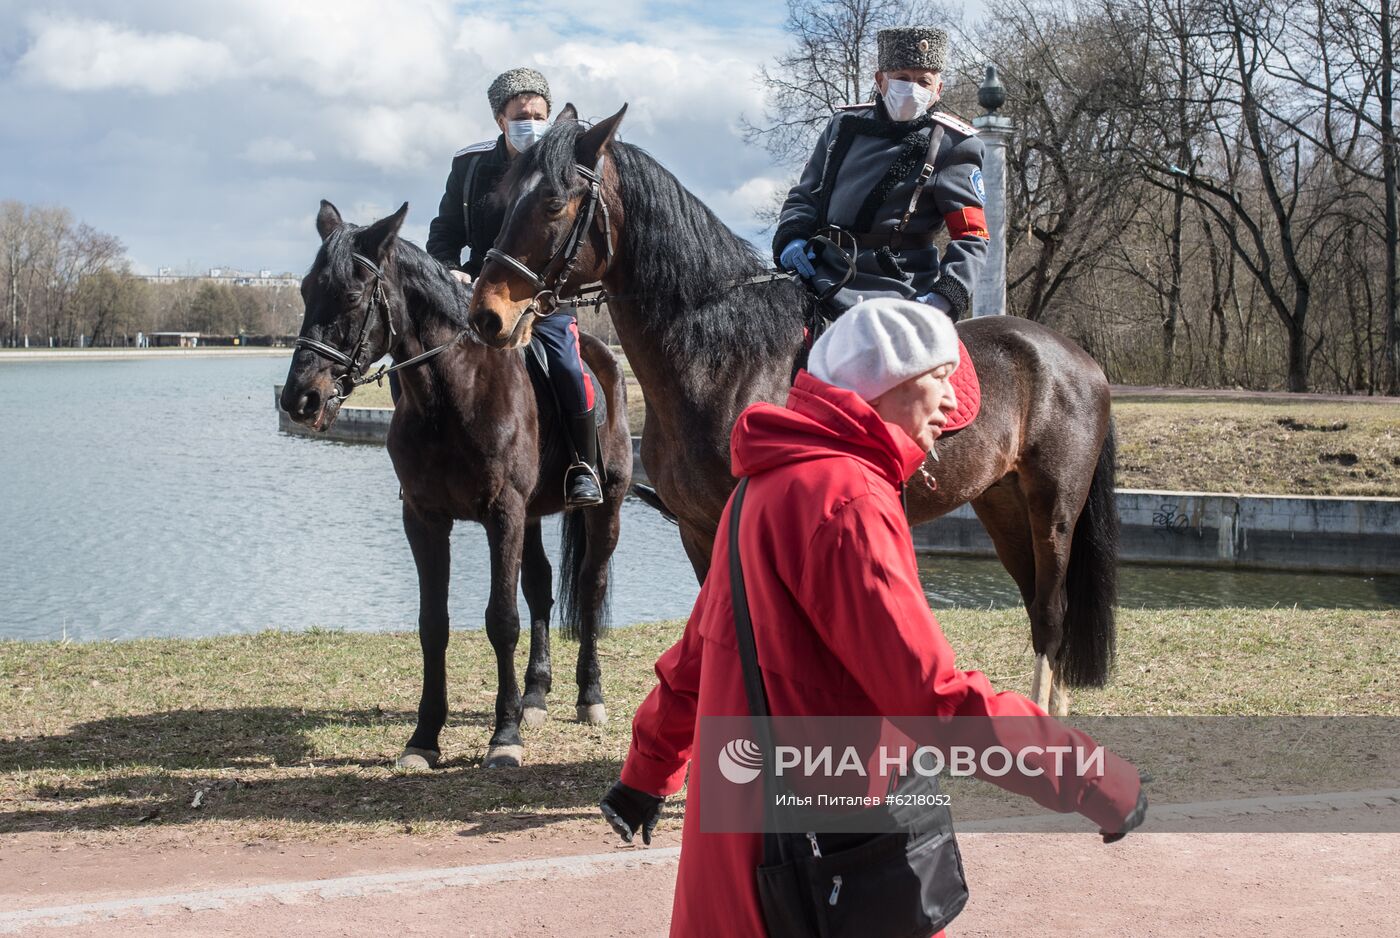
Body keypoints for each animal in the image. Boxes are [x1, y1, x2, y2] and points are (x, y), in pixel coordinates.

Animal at [278, 201, 630, 767]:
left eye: (351, 295)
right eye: (307, 290)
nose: (300, 399)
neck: (451, 394)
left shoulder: (503, 514)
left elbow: (501, 620)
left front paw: (504, 736)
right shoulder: (426, 518)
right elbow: (433, 625)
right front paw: (425, 736)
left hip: (607, 507)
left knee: (590, 588)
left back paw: (588, 695)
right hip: (533, 515)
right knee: (541, 590)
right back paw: (535, 696)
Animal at [467, 106, 1114, 716]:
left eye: (553, 203)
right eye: (500, 198)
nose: (487, 316)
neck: (726, 358)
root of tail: (1076, 356)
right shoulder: (698, 532)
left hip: (1053, 509)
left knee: (1051, 611)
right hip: (1001, 503)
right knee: (1039, 604)